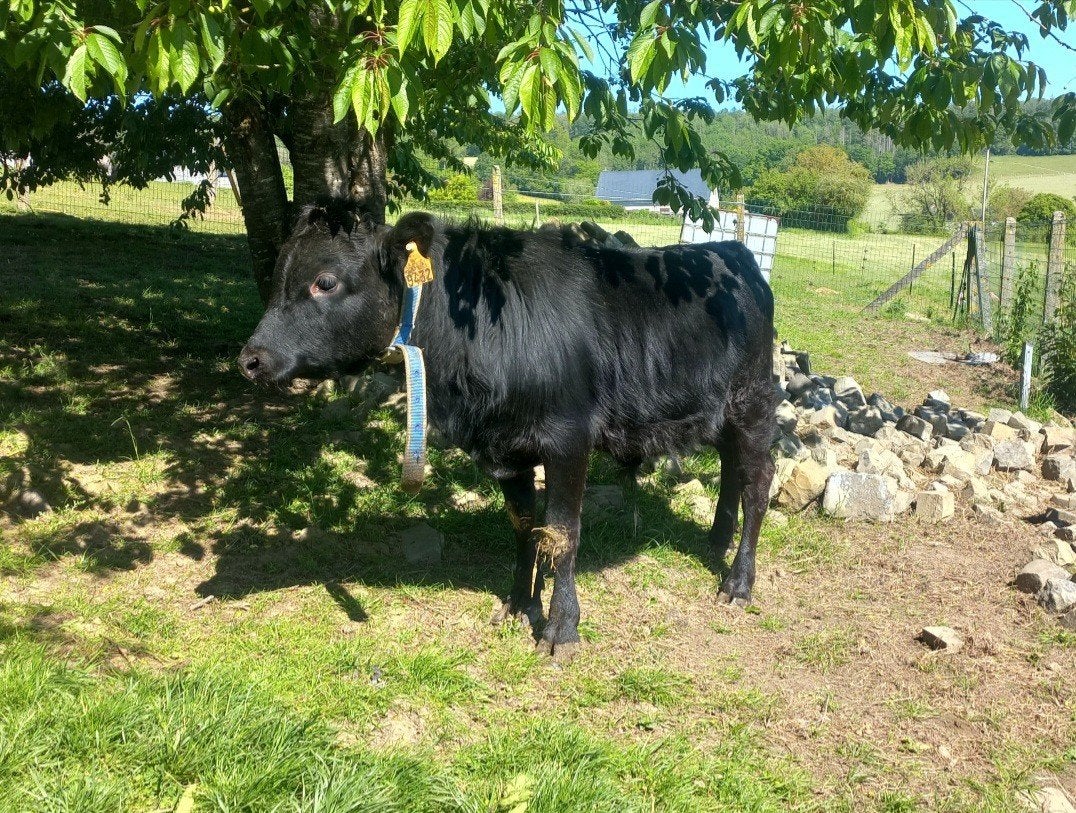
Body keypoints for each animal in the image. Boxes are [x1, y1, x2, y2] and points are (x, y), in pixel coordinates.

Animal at [239, 200, 777, 660]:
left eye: (325, 282)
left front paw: (561, 629)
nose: (250, 359)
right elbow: (524, 526)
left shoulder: (569, 437)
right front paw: (520, 604)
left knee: (757, 482)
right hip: (717, 411)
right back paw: (715, 543)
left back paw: (738, 582)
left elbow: (562, 532)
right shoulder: (506, 450)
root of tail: (731, 252)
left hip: (752, 401)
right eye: (279, 276)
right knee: (731, 471)